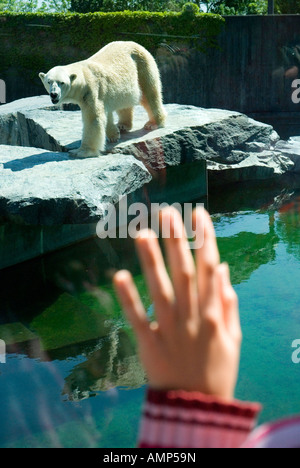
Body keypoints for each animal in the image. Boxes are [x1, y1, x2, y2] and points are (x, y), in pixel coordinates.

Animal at [38, 41, 166, 157]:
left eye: (62, 83)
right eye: (49, 82)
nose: (54, 94)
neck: (82, 75)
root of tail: (137, 44)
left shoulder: (91, 91)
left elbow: (93, 119)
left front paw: (81, 152)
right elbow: (106, 113)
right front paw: (114, 134)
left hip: (142, 65)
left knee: (149, 94)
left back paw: (153, 123)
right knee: (125, 101)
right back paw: (123, 125)